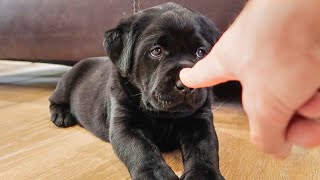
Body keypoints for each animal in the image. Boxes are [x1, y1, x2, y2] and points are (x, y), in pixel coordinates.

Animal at [49, 2, 222, 180]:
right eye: (156, 51)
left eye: (200, 52)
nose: (186, 85)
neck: (164, 116)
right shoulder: (125, 125)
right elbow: (142, 150)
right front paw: (156, 176)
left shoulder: (199, 121)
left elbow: (204, 148)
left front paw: (204, 175)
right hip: (67, 81)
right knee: (54, 100)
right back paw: (62, 115)